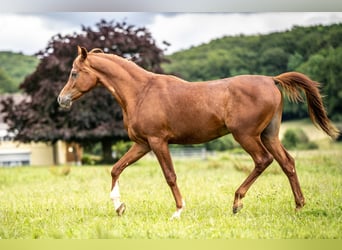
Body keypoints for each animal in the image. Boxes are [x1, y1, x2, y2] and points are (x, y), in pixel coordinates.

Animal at [57, 47, 338, 219]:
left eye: (74, 73)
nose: (61, 99)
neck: (141, 92)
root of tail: (271, 80)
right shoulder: (142, 144)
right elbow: (116, 168)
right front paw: (119, 206)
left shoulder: (158, 142)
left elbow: (170, 176)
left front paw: (178, 211)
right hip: (269, 135)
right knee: (287, 163)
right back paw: (299, 206)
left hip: (246, 136)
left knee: (263, 161)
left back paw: (237, 202)